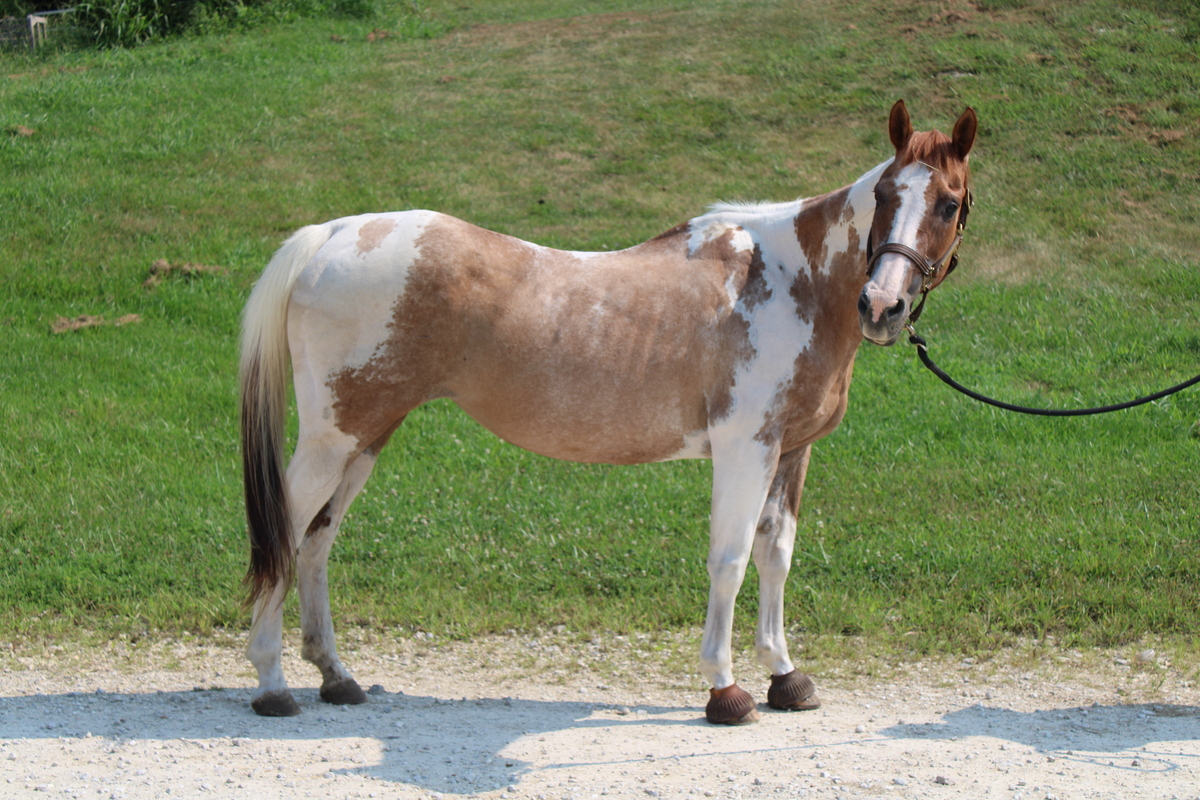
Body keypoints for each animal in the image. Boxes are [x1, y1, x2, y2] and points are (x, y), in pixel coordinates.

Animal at [239, 99, 977, 724]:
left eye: (948, 202)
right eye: (885, 195)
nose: (882, 306)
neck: (790, 280)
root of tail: (333, 232)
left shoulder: (792, 450)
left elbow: (776, 555)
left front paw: (784, 675)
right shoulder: (746, 449)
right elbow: (730, 559)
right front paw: (725, 689)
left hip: (367, 438)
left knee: (317, 542)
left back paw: (335, 676)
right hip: (332, 440)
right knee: (286, 532)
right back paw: (273, 685)